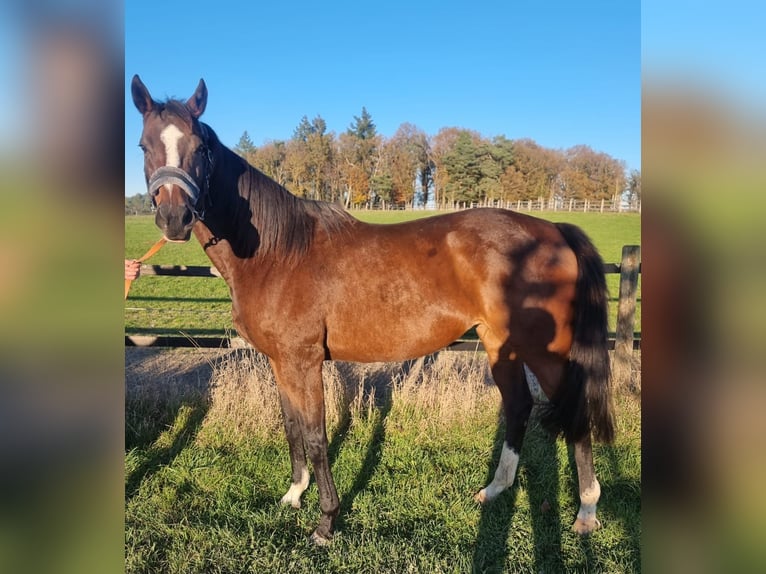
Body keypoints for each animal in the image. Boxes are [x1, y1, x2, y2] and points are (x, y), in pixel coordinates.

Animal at [129, 76, 616, 548]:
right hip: (500, 344)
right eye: (143, 145)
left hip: (545, 351)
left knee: (574, 413)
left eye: (200, 148)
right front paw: (293, 495)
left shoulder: (303, 361)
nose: (174, 217)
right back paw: (495, 490)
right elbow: (291, 426)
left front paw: (325, 523)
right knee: (518, 406)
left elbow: (316, 435)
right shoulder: (280, 362)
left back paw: (587, 512)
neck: (277, 251)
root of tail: (555, 229)